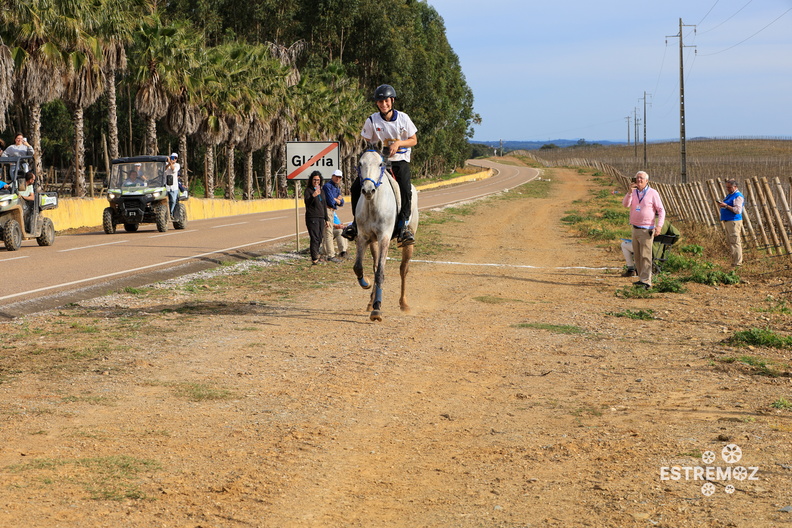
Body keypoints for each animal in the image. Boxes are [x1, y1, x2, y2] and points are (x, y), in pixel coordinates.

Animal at [352, 148, 418, 322]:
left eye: (380, 164)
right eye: (360, 163)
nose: (368, 190)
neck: (373, 203)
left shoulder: (384, 238)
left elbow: (381, 272)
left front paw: (377, 309)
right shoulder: (363, 237)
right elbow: (359, 267)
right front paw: (366, 283)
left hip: (408, 242)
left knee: (403, 269)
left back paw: (404, 304)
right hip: (373, 242)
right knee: (375, 266)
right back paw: (370, 301)